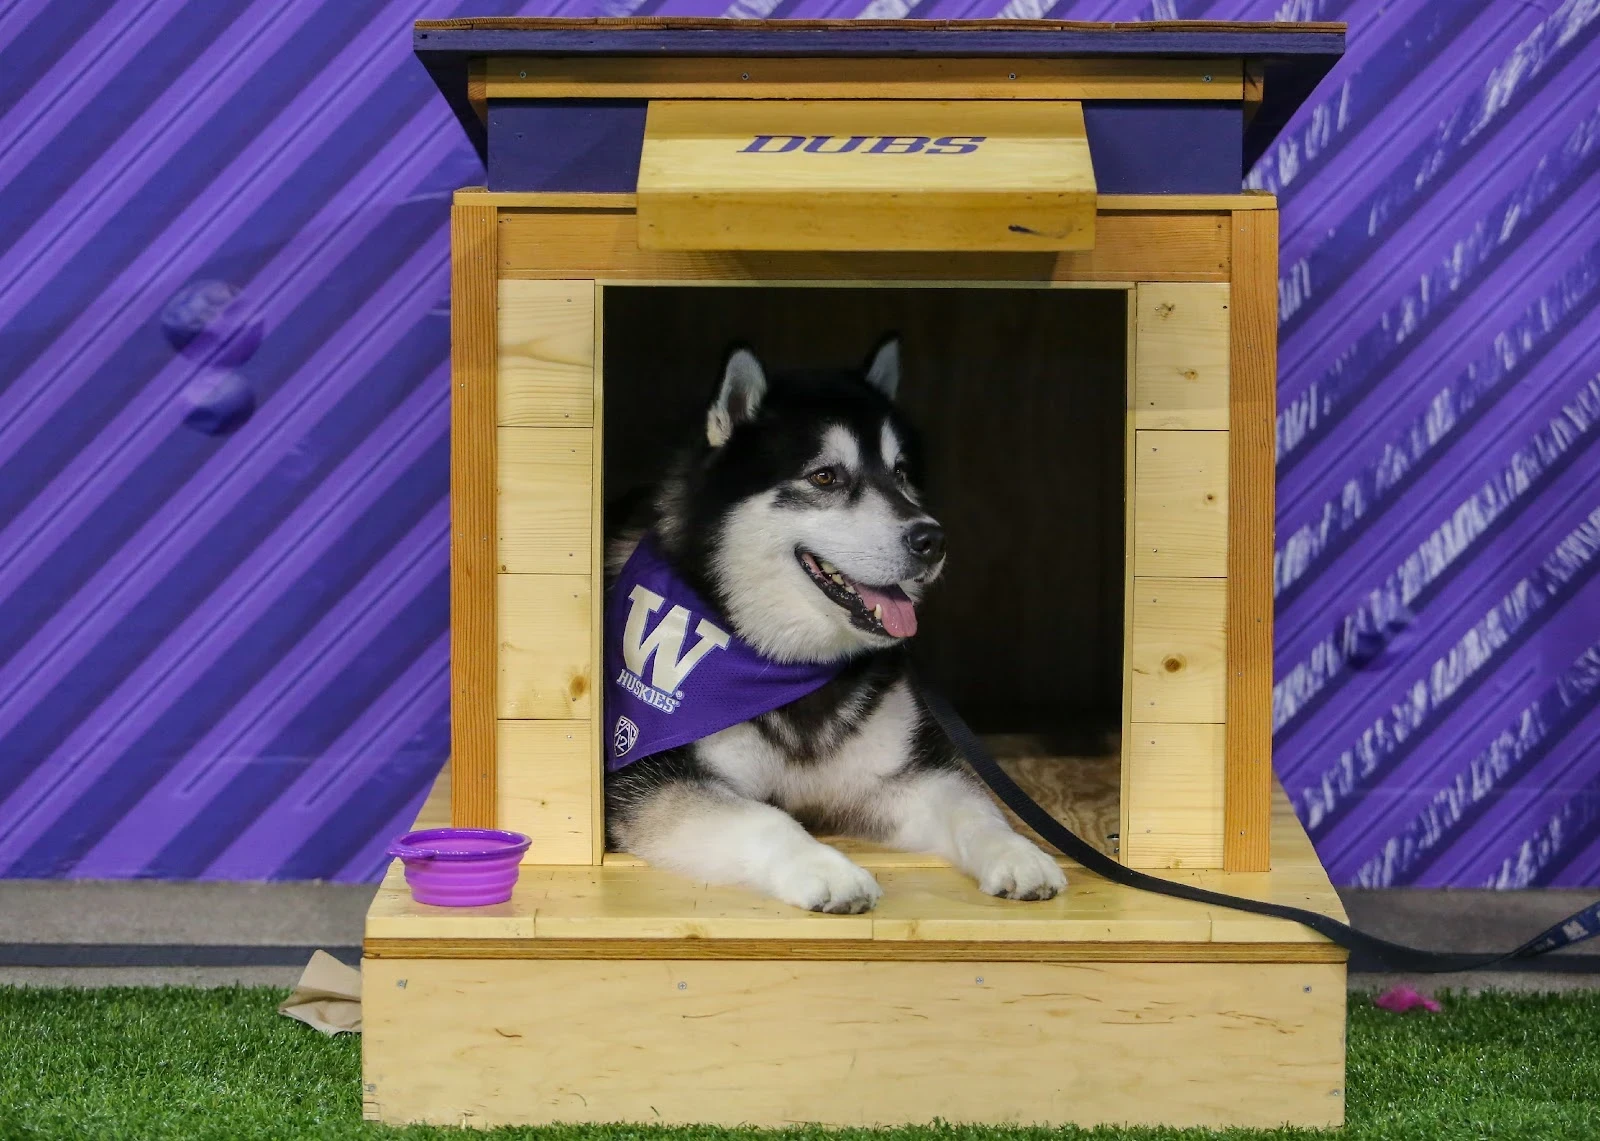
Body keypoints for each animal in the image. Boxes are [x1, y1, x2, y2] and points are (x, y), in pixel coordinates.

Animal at [604, 337, 1068, 915]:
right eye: (825, 476)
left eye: (900, 473)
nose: (932, 540)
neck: (779, 664)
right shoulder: (652, 778)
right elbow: (763, 818)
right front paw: (827, 869)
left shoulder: (893, 780)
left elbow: (972, 807)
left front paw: (1016, 851)